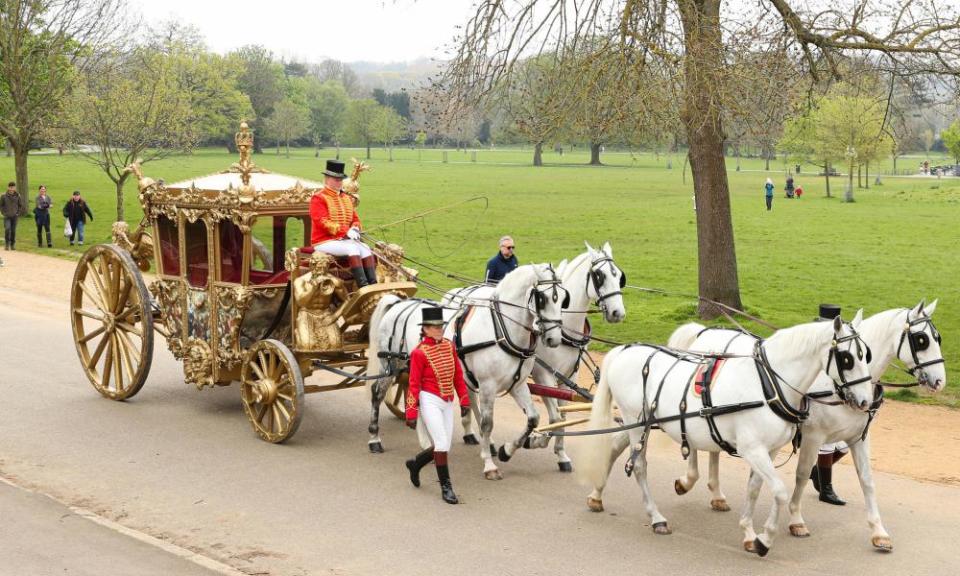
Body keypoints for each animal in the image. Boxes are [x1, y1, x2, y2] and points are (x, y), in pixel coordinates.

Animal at [442, 264, 568, 480]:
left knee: (471, 401)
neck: (503, 331)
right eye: (541, 298)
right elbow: (487, 423)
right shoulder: (488, 385)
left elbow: (533, 418)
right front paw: (489, 465)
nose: (554, 339)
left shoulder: (518, 384)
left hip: (468, 377)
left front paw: (507, 450)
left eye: (562, 298)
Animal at [576, 318, 876, 556]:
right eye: (847, 358)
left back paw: (596, 495)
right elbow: (779, 491)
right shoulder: (752, 448)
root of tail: (624, 349)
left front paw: (749, 533)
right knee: (639, 466)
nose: (865, 401)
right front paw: (765, 539)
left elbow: (754, 489)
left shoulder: (768, 450)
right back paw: (656, 517)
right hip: (636, 422)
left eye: (867, 355)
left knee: (615, 446)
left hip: (640, 424)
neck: (768, 384)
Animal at [664, 300, 940, 552]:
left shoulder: (857, 437)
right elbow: (802, 474)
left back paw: (717, 494)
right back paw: (688, 480)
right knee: (693, 442)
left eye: (867, 353)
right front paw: (796, 519)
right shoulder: (813, 436)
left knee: (713, 448)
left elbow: (867, 480)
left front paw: (878, 531)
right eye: (922, 339)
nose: (939, 381)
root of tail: (705, 331)